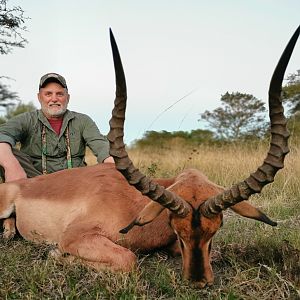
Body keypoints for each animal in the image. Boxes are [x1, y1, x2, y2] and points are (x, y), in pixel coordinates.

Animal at [1, 27, 298, 288]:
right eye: (176, 229)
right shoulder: (74, 236)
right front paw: (55, 255)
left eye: (216, 229)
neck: (132, 203)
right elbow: (128, 259)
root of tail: (22, 186)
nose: (198, 281)